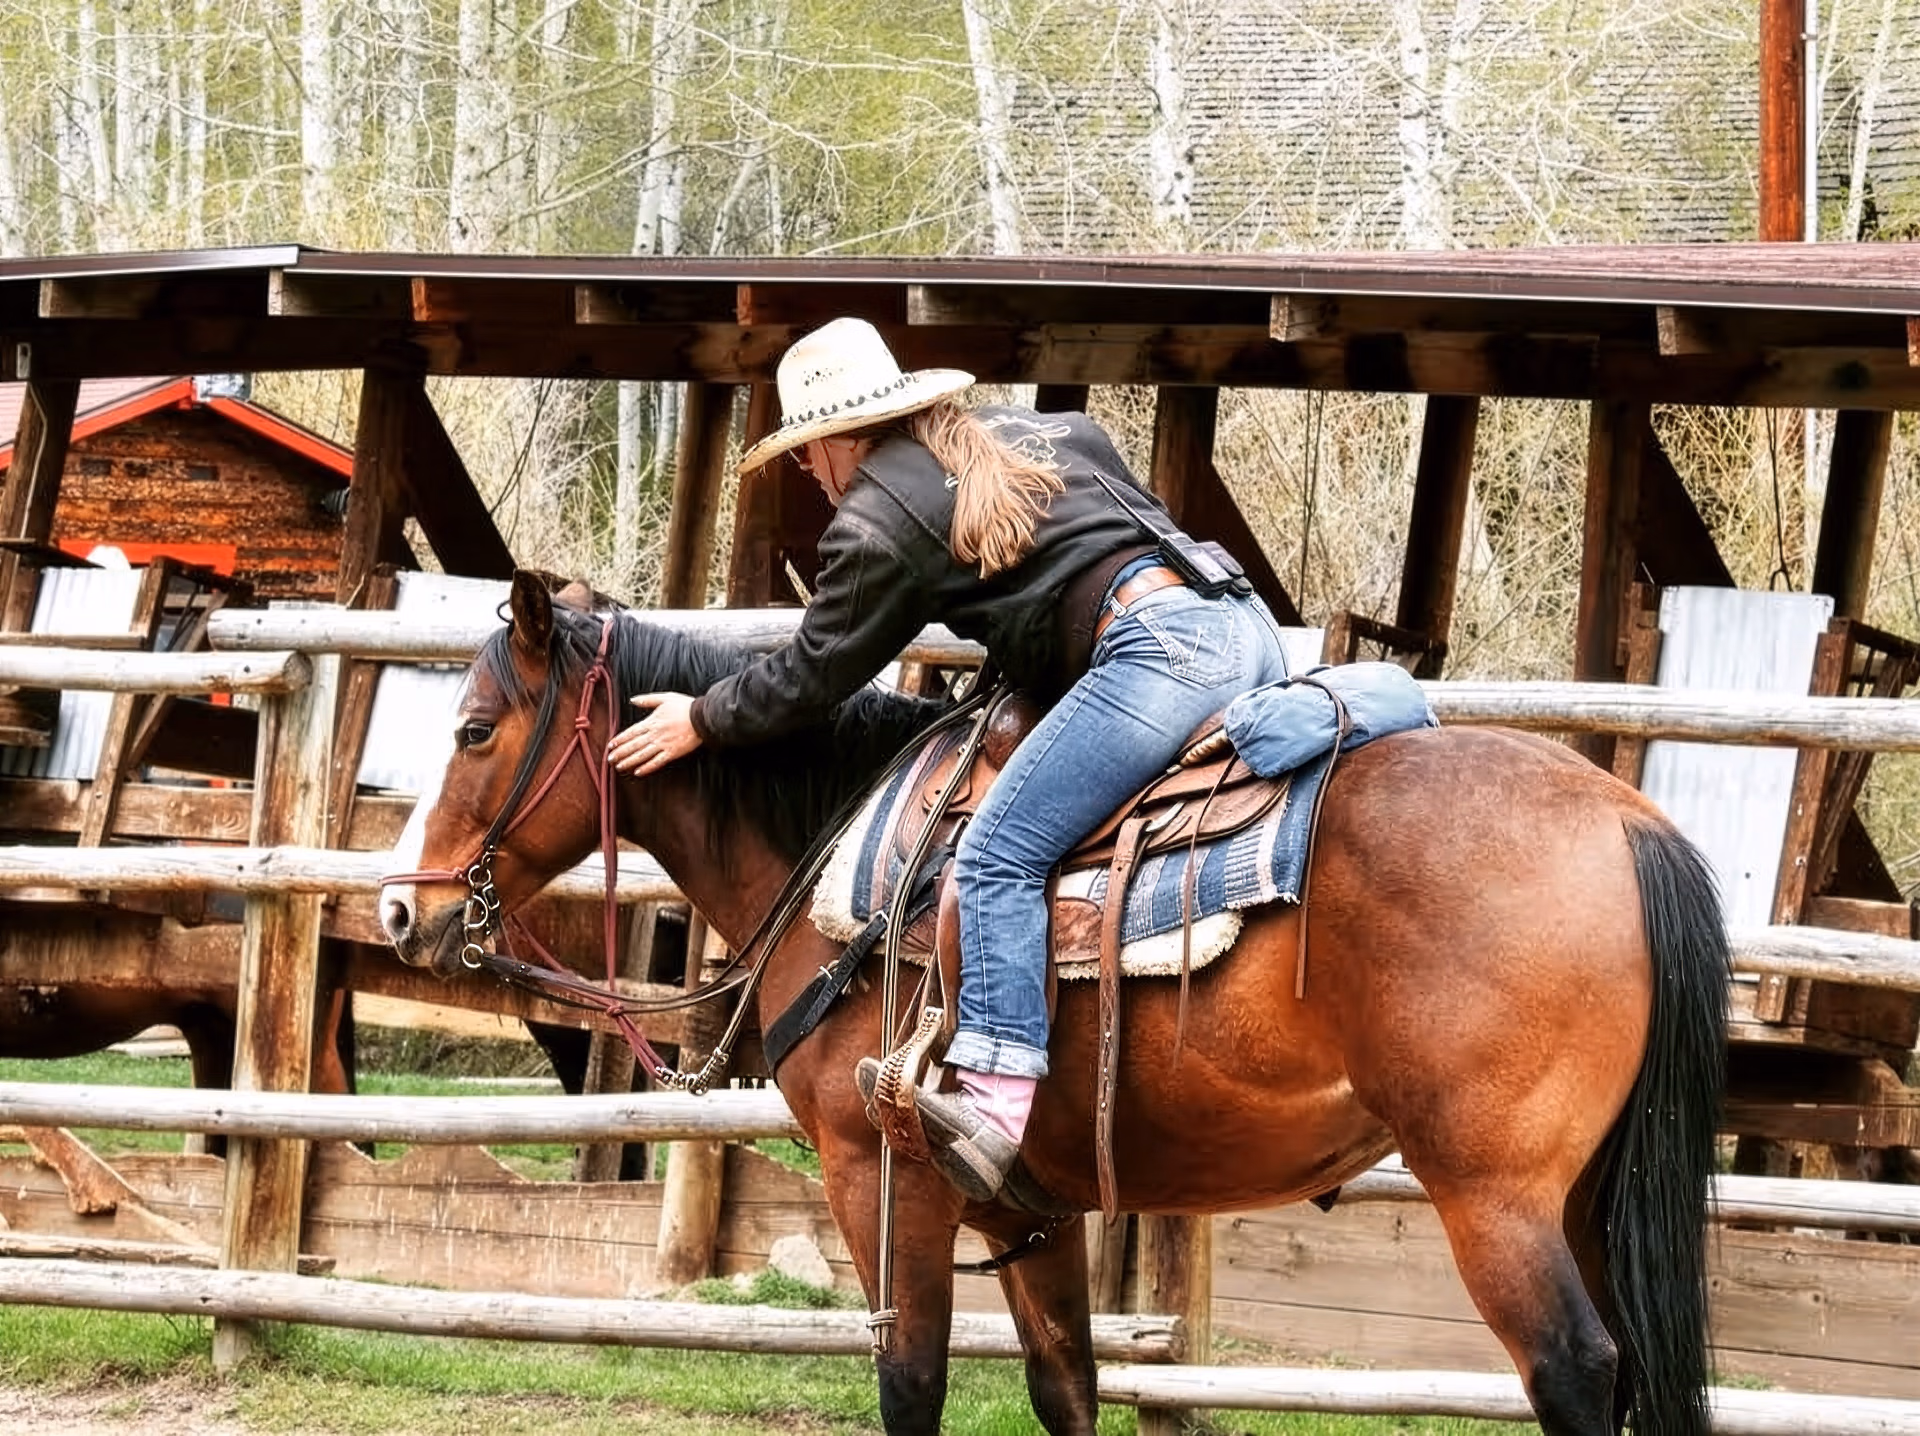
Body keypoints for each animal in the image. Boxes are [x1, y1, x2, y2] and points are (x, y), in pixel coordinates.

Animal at [379, 573, 1729, 1436]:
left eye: (476, 727)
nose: (400, 909)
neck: (836, 854)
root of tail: (1633, 823)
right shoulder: (1030, 1203)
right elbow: (1065, 1383)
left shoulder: (884, 1173)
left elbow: (911, 1380)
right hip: (1593, 1198)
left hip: (1495, 1197)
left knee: (1573, 1373)